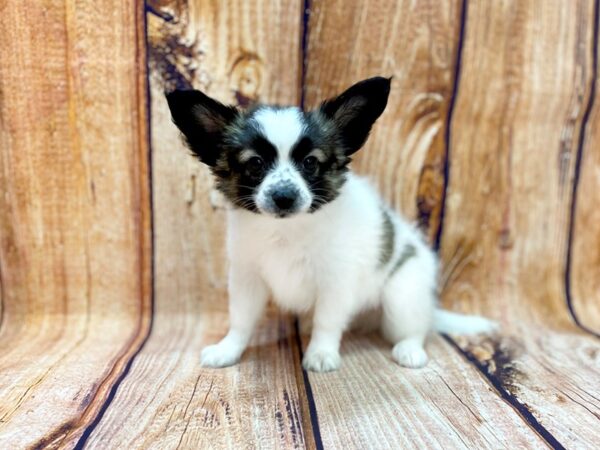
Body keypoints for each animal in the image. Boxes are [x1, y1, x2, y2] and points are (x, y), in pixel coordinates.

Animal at [165, 76, 496, 372]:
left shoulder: (336, 281)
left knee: (415, 328)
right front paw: (228, 349)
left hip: (402, 295)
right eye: (255, 164)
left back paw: (410, 350)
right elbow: (241, 320)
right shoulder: (247, 277)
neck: (287, 230)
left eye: (310, 162)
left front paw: (321, 354)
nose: (283, 196)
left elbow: (326, 321)